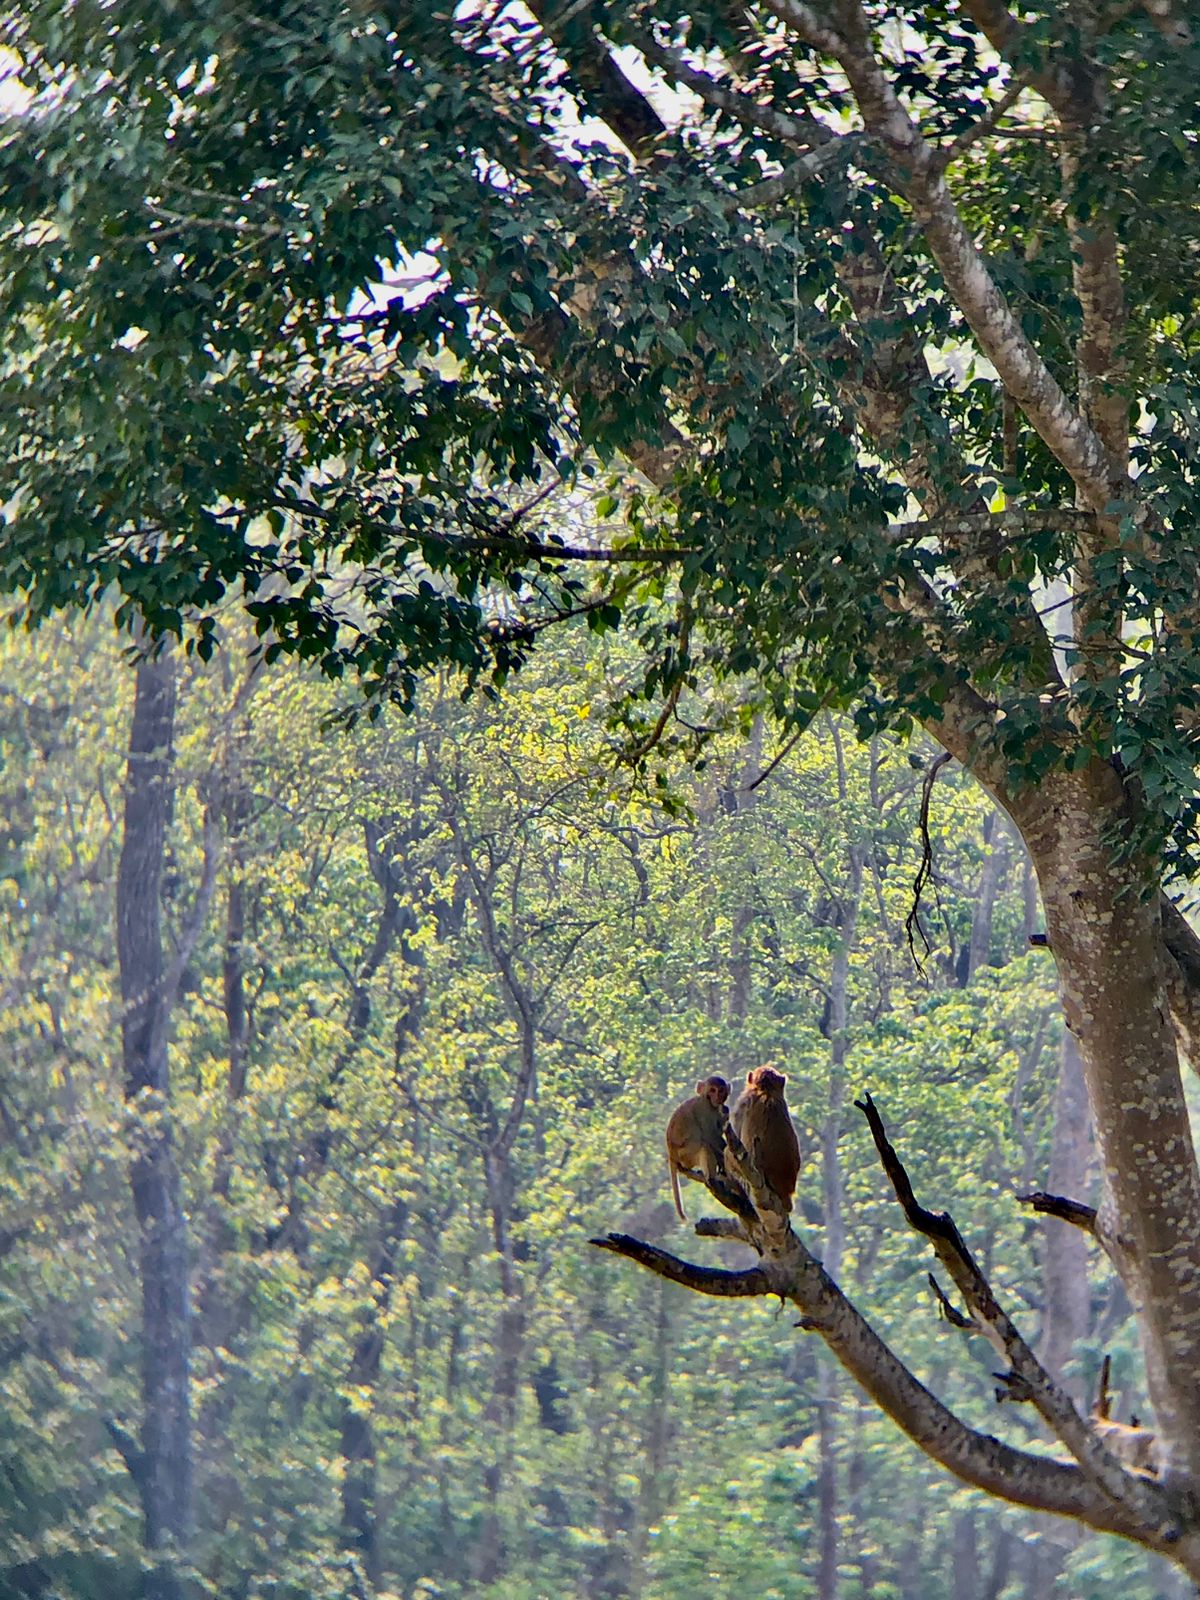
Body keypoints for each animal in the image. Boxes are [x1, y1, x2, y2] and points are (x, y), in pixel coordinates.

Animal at [665, 1075, 730, 1222]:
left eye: (721, 1090)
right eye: (712, 1090)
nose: (717, 1097)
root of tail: (671, 1153)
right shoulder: (704, 1108)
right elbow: (710, 1135)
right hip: (685, 1154)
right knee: (704, 1145)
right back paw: (711, 1178)